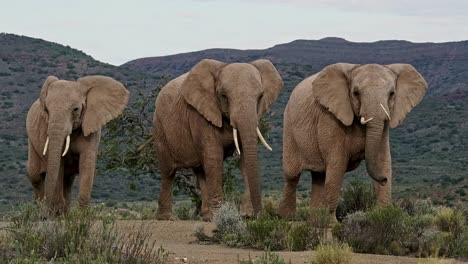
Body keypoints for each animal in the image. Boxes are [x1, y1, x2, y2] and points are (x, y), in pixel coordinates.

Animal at [27, 75, 130, 214]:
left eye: (75, 109)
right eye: (46, 110)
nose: (46, 214)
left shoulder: (91, 125)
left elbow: (87, 163)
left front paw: (81, 216)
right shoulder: (44, 128)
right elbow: (57, 165)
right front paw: (57, 214)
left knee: (67, 180)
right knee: (35, 175)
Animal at [154, 59, 282, 221]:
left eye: (261, 96)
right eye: (223, 95)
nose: (260, 217)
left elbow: (244, 159)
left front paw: (246, 214)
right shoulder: (201, 114)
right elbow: (213, 157)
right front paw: (221, 216)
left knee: (200, 170)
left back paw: (206, 216)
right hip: (160, 127)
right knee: (168, 172)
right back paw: (167, 218)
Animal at [278, 63, 428, 221]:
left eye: (392, 93)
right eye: (355, 93)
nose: (384, 179)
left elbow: (382, 161)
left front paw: (386, 216)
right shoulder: (330, 117)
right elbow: (337, 165)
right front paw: (332, 226)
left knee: (318, 176)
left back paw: (314, 221)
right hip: (289, 128)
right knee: (292, 176)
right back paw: (287, 218)